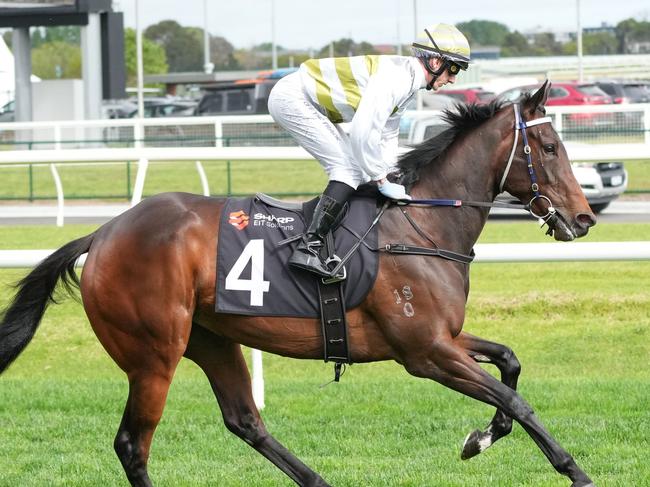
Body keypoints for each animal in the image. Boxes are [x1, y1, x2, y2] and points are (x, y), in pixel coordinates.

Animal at [1, 82, 592, 486]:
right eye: (552, 148)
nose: (584, 219)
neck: (419, 224)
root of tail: (102, 233)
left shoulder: (442, 337)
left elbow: (510, 363)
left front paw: (480, 439)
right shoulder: (424, 352)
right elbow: (517, 400)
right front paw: (573, 469)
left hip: (210, 338)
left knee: (245, 420)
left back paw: (316, 480)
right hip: (153, 355)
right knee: (133, 444)